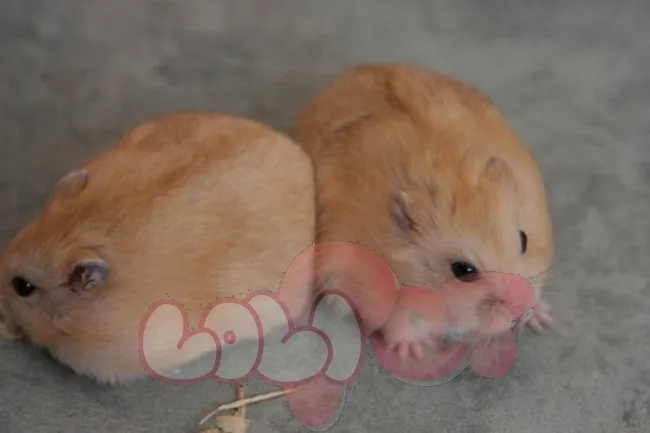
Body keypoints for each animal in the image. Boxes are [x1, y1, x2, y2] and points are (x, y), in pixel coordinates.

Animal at [291, 63, 554, 361]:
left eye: (524, 239)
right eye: (463, 270)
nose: (521, 306)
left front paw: (541, 319)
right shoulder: (393, 302)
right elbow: (404, 325)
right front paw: (412, 353)